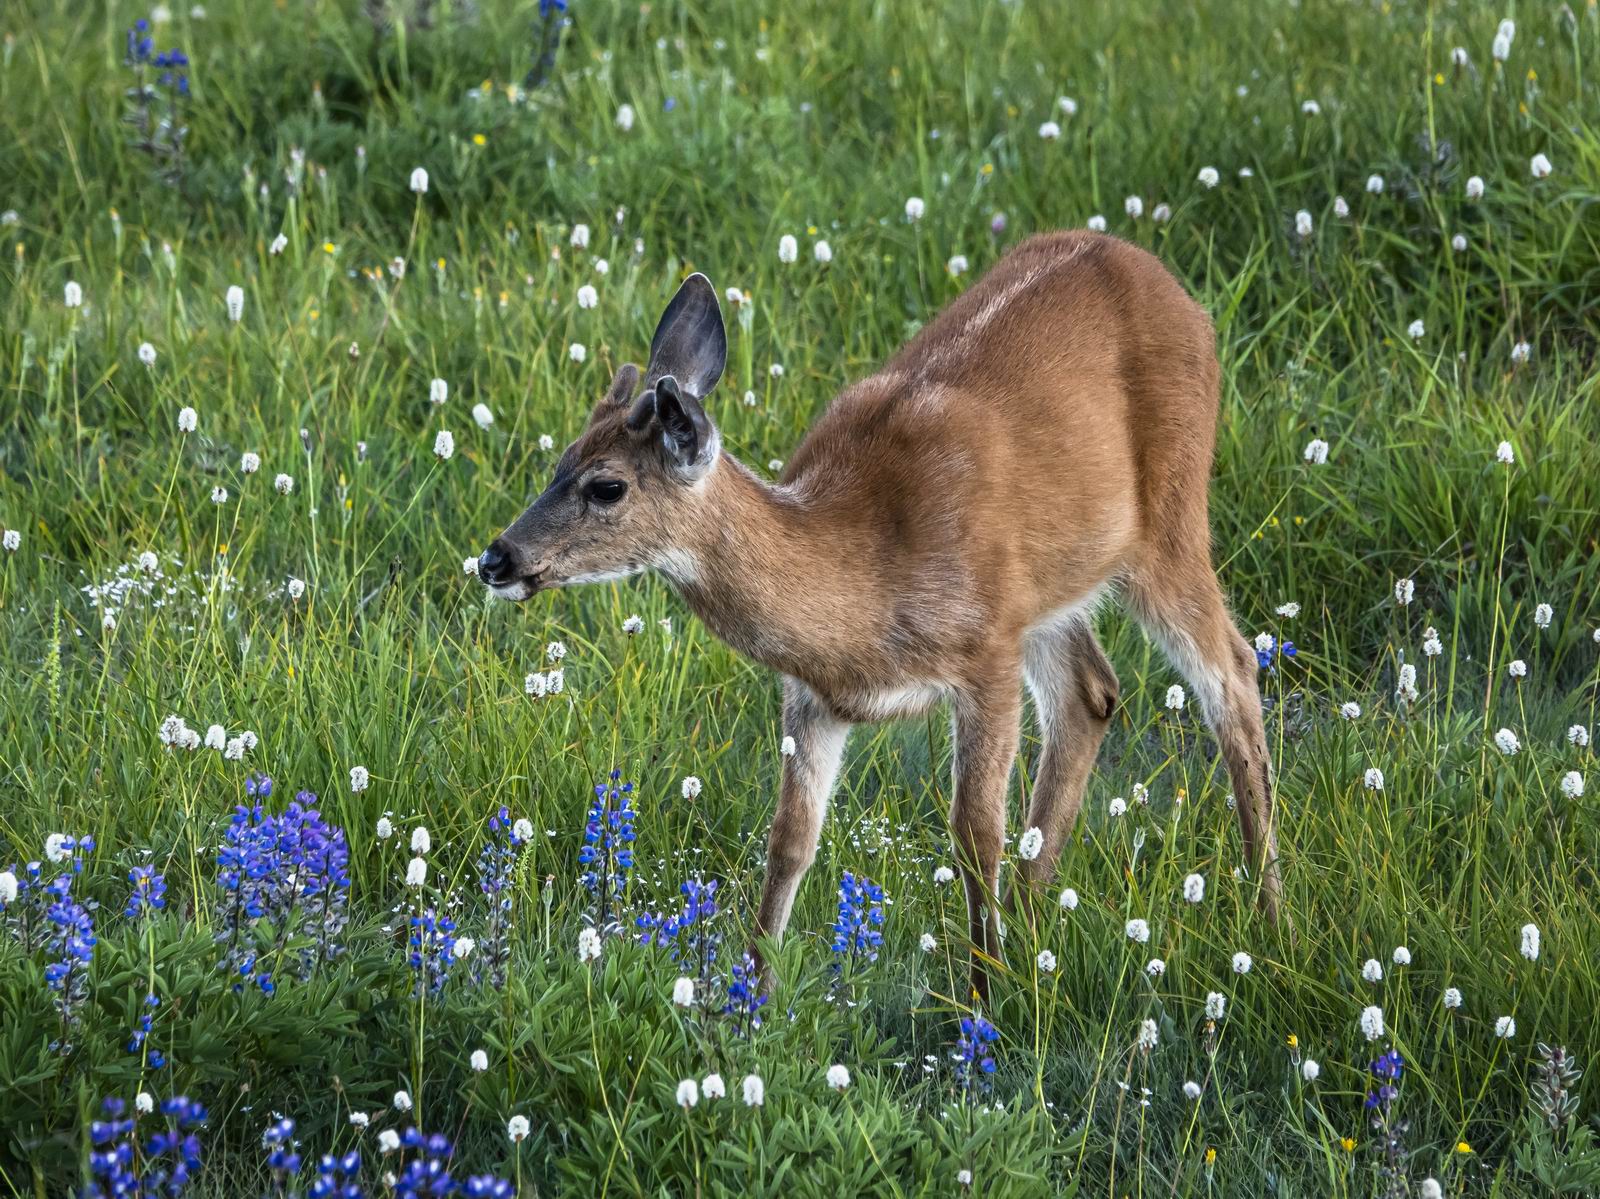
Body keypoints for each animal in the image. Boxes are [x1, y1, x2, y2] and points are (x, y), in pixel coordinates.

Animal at [476, 228, 1286, 998]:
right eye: (559, 460)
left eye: (607, 486)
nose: (496, 559)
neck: (862, 581)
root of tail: (1168, 285)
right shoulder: (813, 696)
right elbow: (790, 840)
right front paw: (749, 995)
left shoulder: (985, 648)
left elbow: (973, 835)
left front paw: (981, 1000)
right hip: (1052, 588)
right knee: (1092, 692)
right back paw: (1032, 922)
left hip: (1170, 515)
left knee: (1231, 670)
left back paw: (1265, 910)